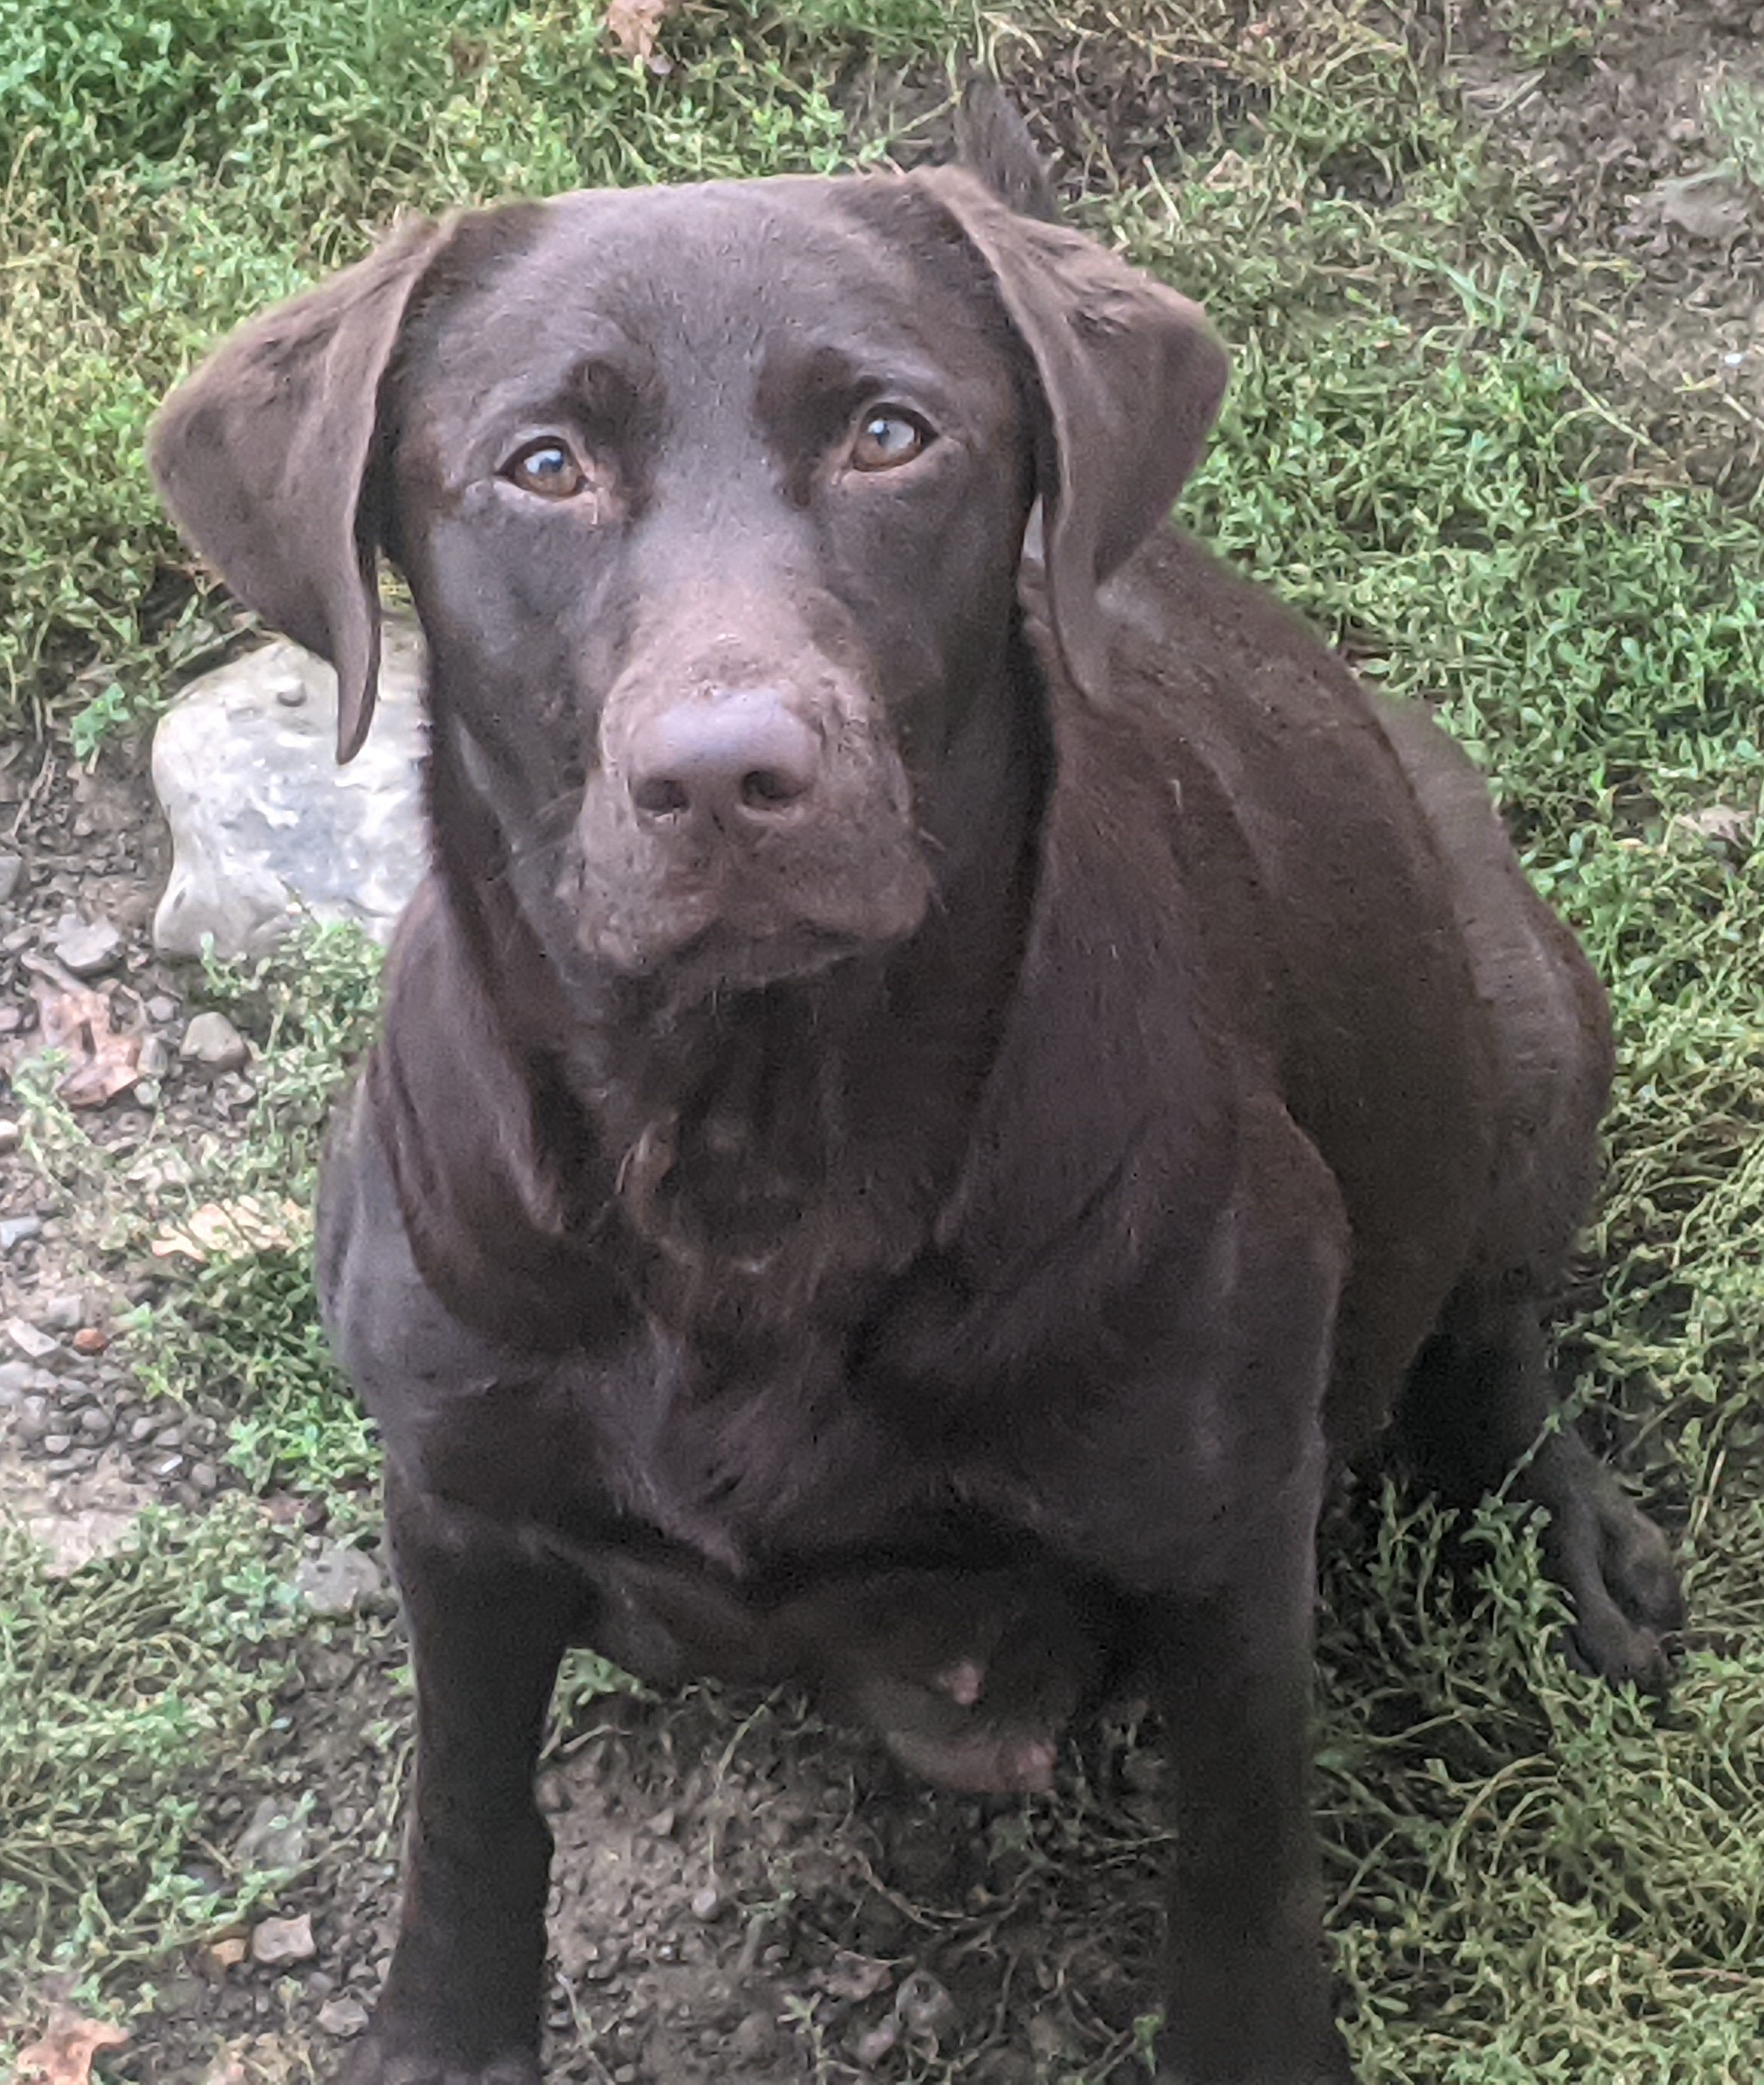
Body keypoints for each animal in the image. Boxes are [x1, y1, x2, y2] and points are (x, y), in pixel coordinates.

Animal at [148, 110, 1684, 2085]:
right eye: (543, 465)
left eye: (889, 433)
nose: (726, 775)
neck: (750, 1151)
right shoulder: (458, 1504)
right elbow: (468, 1817)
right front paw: (443, 2034)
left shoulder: (1223, 1546)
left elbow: (1245, 1879)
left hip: (1522, 1007)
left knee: (1491, 1334)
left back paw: (1575, 1541)